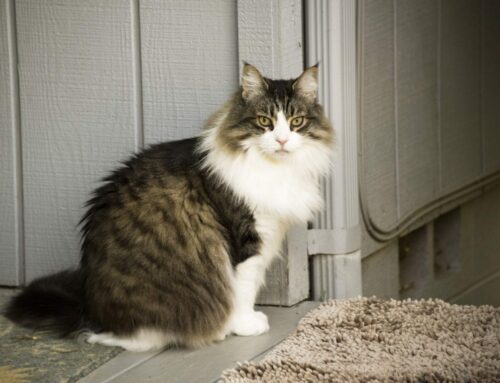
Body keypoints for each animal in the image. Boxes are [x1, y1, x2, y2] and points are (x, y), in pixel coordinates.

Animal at [5, 62, 334, 352]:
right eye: (265, 121)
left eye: (296, 123)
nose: (282, 140)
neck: (275, 169)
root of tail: (88, 309)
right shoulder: (248, 241)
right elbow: (243, 289)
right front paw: (246, 325)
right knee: (125, 338)